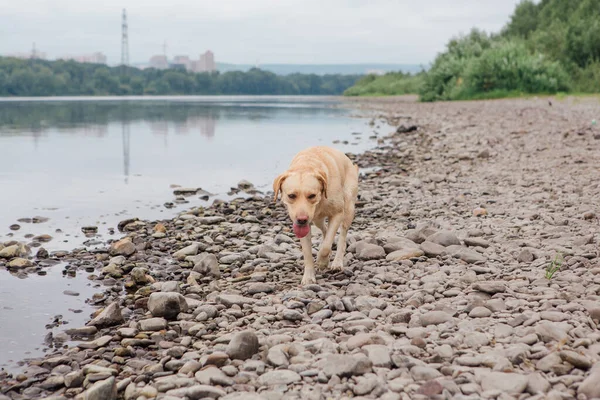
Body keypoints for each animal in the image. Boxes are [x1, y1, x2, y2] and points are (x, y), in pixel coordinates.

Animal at [274, 145, 360, 286]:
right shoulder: (303, 226)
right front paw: (309, 276)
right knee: (325, 230)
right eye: (291, 196)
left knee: (341, 236)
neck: (306, 165)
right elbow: (308, 252)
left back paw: (337, 262)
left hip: (348, 207)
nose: (301, 220)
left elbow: (326, 246)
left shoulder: (337, 213)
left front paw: (322, 261)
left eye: (312, 195)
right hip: (317, 220)